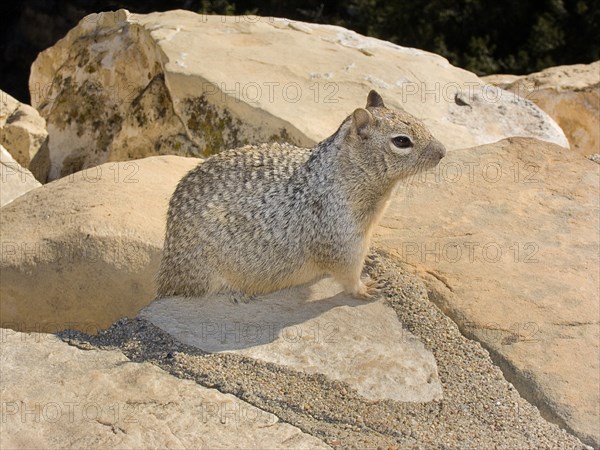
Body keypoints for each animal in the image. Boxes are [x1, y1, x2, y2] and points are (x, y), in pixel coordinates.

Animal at [156, 89, 446, 298]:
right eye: (402, 141)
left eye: (419, 121)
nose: (443, 151)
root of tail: (167, 272)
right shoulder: (341, 240)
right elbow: (348, 275)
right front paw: (365, 289)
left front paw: (373, 258)